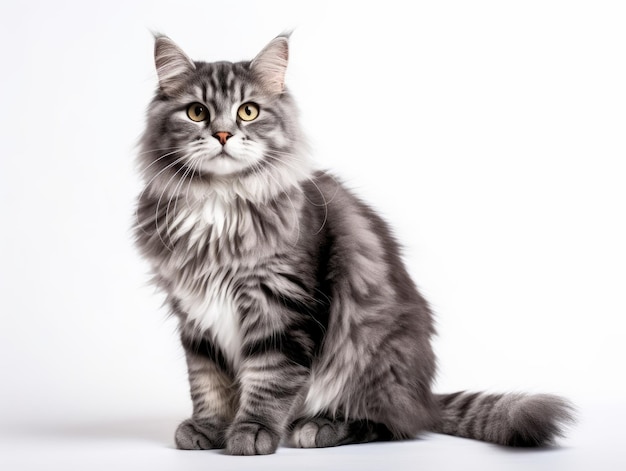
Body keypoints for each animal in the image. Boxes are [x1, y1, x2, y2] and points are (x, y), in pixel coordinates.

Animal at [134, 34, 572, 458]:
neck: (220, 201)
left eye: (248, 111)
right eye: (196, 112)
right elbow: (207, 380)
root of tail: (424, 397)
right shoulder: (195, 314)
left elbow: (270, 378)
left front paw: (253, 431)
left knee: (393, 424)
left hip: (369, 352)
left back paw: (319, 426)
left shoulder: (281, 307)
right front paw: (208, 427)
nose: (222, 135)